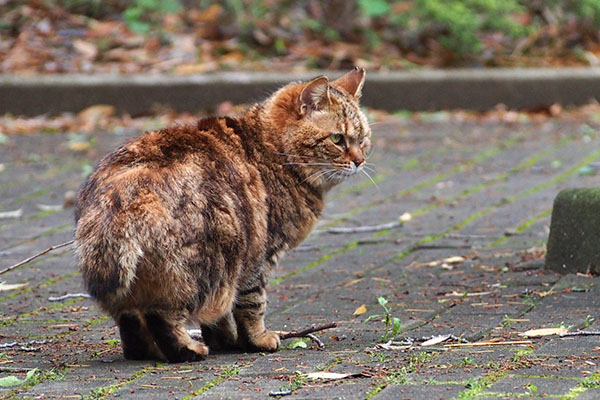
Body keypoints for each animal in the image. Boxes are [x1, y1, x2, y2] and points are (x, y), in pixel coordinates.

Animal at [75, 68, 372, 362]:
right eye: (337, 139)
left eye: (363, 140)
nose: (359, 161)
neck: (272, 149)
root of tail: (121, 193)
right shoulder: (258, 257)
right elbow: (252, 304)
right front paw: (257, 340)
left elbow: (219, 317)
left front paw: (226, 341)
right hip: (198, 267)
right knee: (161, 316)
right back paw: (187, 350)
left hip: (148, 281)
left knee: (130, 322)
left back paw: (146, 351)